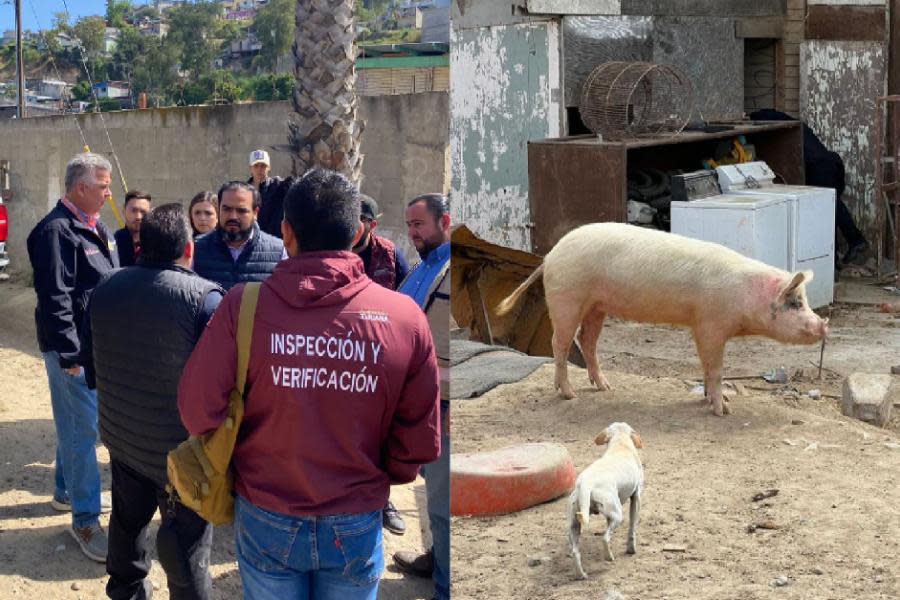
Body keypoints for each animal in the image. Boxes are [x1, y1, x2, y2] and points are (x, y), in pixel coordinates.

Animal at [500, 223, 828, 414]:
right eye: (796, 303)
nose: (823, 325)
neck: (745, 298)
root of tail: (550, 256)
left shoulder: (701, 327)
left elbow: (706, 366)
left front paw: (712, 400)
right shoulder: (711, 324)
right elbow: (716, 368)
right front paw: (723, 410)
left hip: (596, 305)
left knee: (587, 340)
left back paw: (605, 387)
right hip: (567, 297)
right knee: (560, 343)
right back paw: (569, 395)